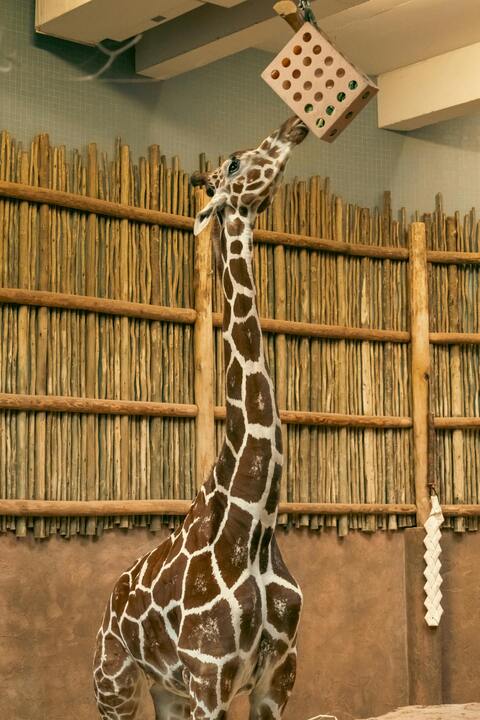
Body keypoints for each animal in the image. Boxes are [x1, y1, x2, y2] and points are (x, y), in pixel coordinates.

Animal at [93, 116, 309, 720]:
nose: (295, 126)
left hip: (166, 690)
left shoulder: (278, 675)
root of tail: (109, 600)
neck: (254, 524)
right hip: (114, 684)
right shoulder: (209, 677)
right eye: (232, 163)